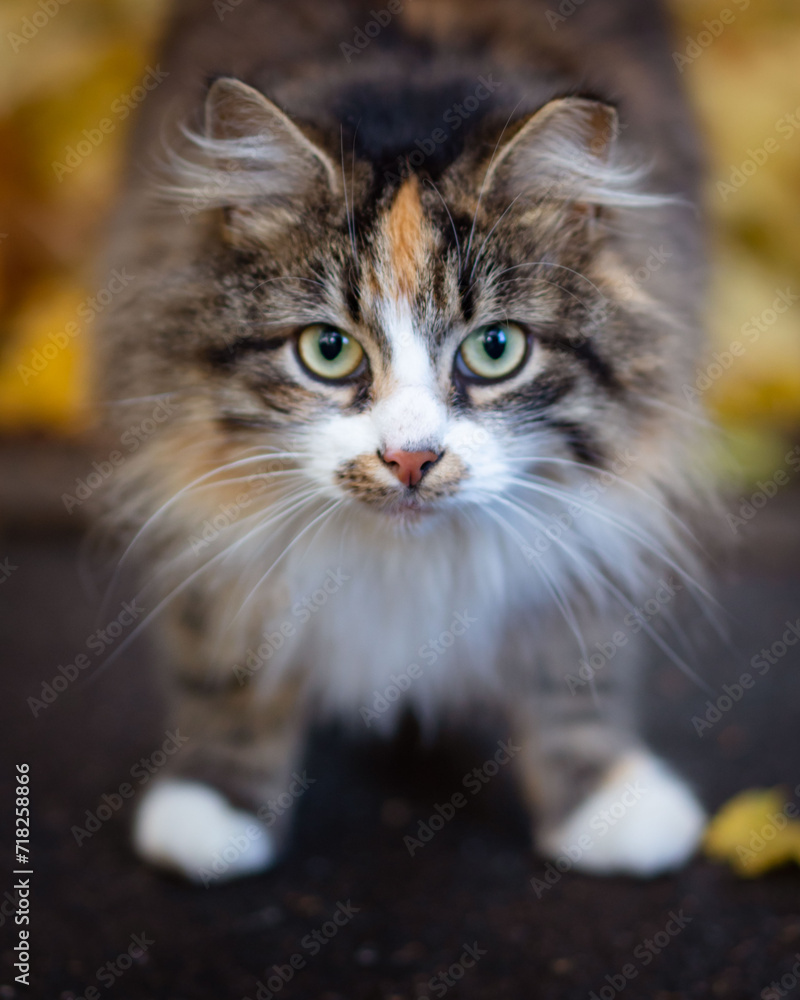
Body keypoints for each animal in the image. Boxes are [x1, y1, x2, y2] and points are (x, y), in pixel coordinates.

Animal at [94, 0, 712, 880]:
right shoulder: (196, 486)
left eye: (496, 349)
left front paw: (605, 800)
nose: (410, 458)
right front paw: (213, 806)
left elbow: (574, 654)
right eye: (329, 350)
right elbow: (224, 650)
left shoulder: (595, 506)